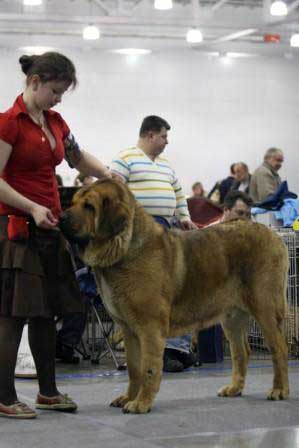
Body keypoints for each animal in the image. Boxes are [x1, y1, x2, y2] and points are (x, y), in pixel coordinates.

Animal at [61, 178, 290, 412]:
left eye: (89, 206)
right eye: (73, 202)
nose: (61, 217)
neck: (124, 248)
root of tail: (274, 235)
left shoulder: (150, 327)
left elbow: (149, 368)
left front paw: (141, 403)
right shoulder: (128, 329)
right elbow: (134, 369)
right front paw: (128, 398)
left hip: (265, 308)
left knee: (279, 349)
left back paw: (279, 390)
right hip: (232, 318)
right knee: (241, 352)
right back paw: (234, 388)